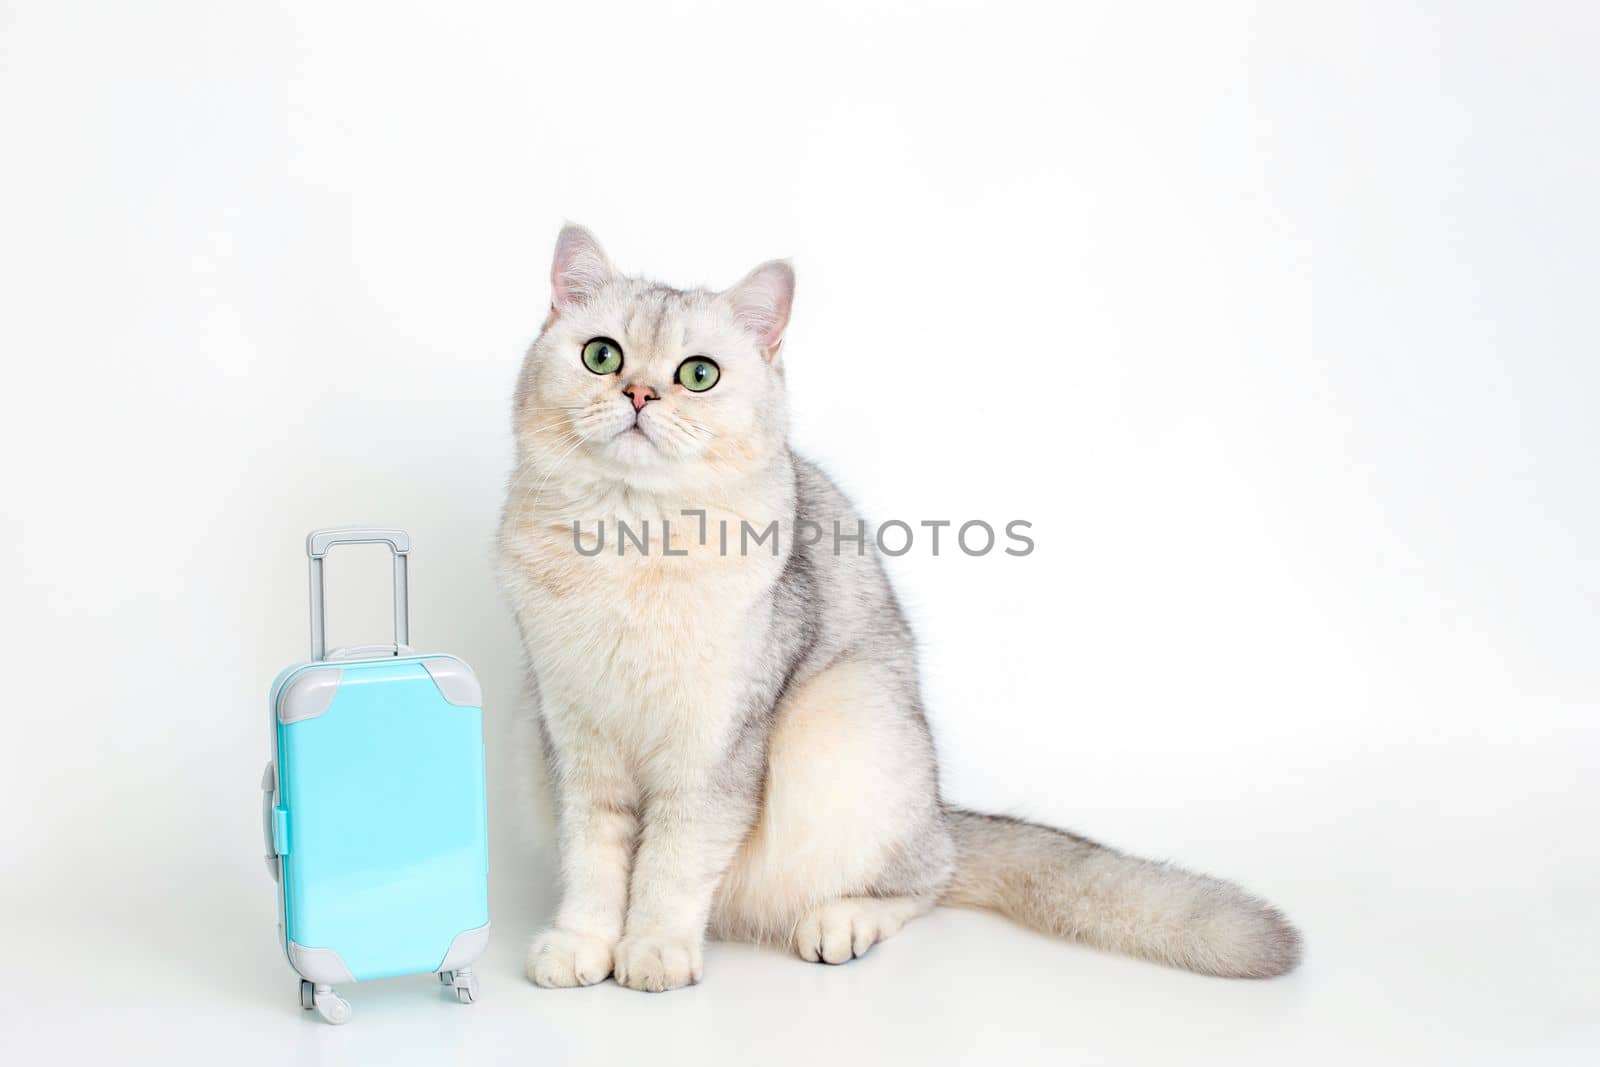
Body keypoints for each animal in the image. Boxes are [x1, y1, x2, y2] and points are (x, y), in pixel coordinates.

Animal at [499, 225, 1299, 991]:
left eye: (699, 374)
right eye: (602, 356)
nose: (639, 395)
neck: (627, 540)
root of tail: (940, 811)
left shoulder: (714, 749)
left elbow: (671, 864)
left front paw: (656, 949)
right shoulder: (572, 738)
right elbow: (593, 863)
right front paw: (583, 944)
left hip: (844, 727)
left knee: (926, 881)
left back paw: (843, 924)